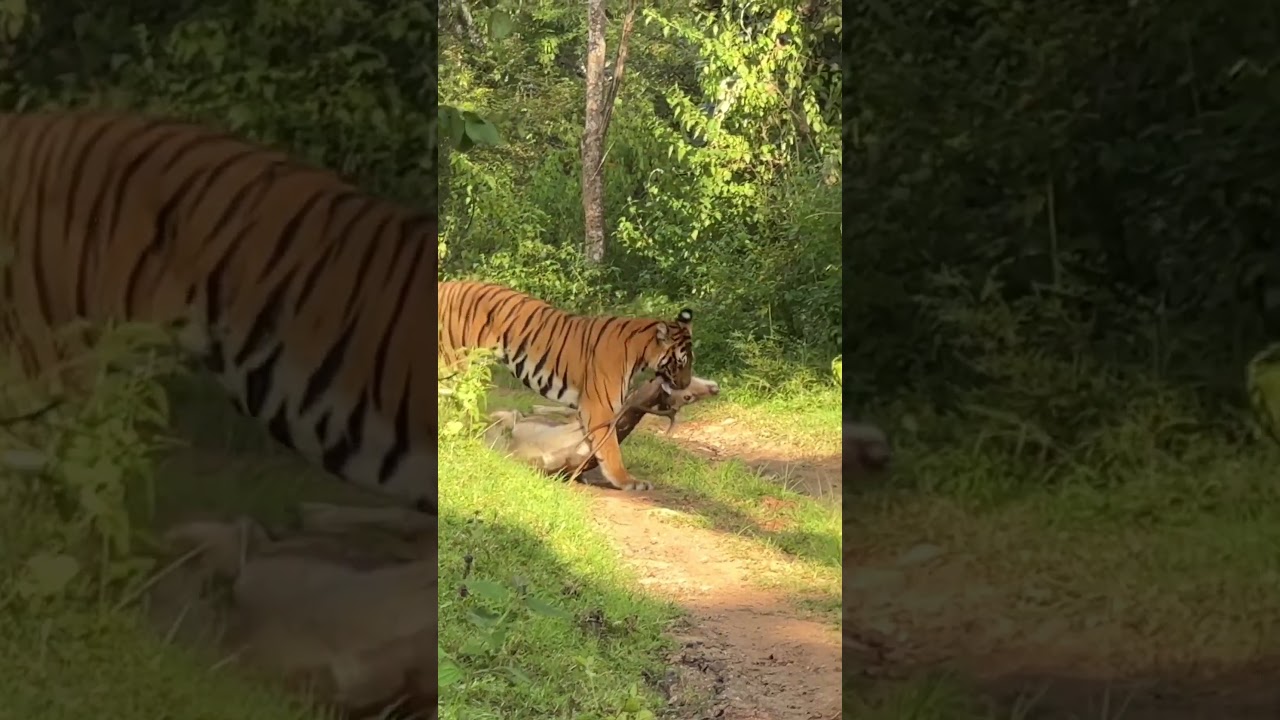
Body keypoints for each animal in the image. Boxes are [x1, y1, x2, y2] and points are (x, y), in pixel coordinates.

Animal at [437, 280, 695, 492]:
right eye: (681, 362)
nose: (686, 385)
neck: (640, 351)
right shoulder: (600, 407)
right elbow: (610, 448)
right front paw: (626, 481)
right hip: (453, 363)